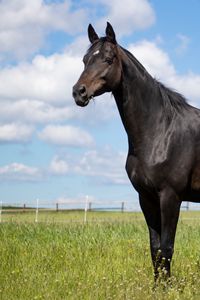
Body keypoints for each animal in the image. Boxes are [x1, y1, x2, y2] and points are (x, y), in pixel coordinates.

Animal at [72, 22, 200, 278]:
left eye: (109, 59)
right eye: (85, 60)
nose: (78, 92)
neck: (160, 131)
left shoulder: (171, 197)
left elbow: (167, 248)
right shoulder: (146, 198)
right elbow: (155, 250)